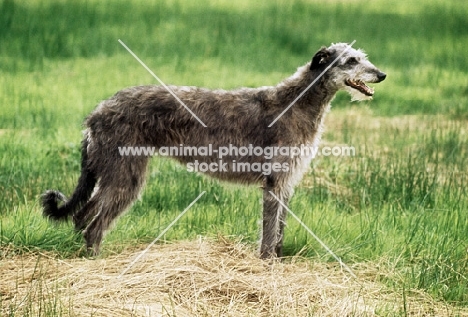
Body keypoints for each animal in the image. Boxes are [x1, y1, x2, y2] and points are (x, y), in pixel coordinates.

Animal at [43, 43, 388, 256]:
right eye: (351, 61)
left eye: (362, 57)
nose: (382, 74)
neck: (297, 102)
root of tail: (96, 113)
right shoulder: (274, 183)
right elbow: (269, 232)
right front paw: (266, 266)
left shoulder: (286, 183)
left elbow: (279, 231)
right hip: (125, 175)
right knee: (92, 220)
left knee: (84, 215)